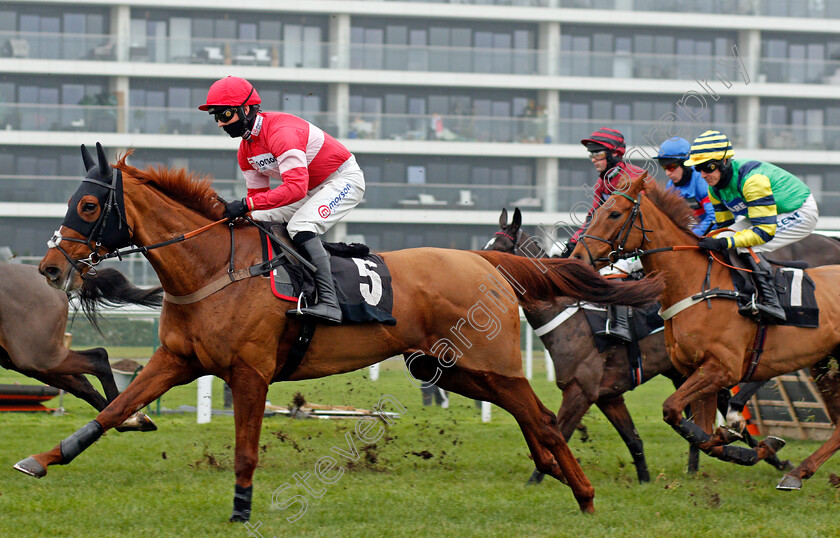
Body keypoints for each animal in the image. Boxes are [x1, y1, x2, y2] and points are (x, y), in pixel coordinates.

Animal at [572, 174, 840, 488]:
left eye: (614, 214)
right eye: (594, 214)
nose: (577, 257)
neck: (694, 283)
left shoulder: (721, 369)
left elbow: (672, 411)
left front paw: (741, 438)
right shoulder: (696, 371)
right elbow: (702, 436)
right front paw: (749, 448)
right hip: (824, 366)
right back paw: (797, 473)